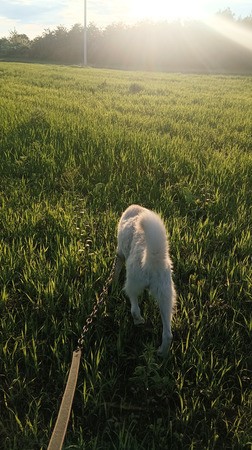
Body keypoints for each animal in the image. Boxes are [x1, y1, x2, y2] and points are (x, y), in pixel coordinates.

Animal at [113, 204, 176, 356]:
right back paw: (162, 353)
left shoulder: (119, 254)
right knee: (168, 334)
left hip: (132, 286)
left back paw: (139, 321)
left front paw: (113, 284)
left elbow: (116, 271)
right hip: (166, 297)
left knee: (134, 309)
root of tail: (153, 261)